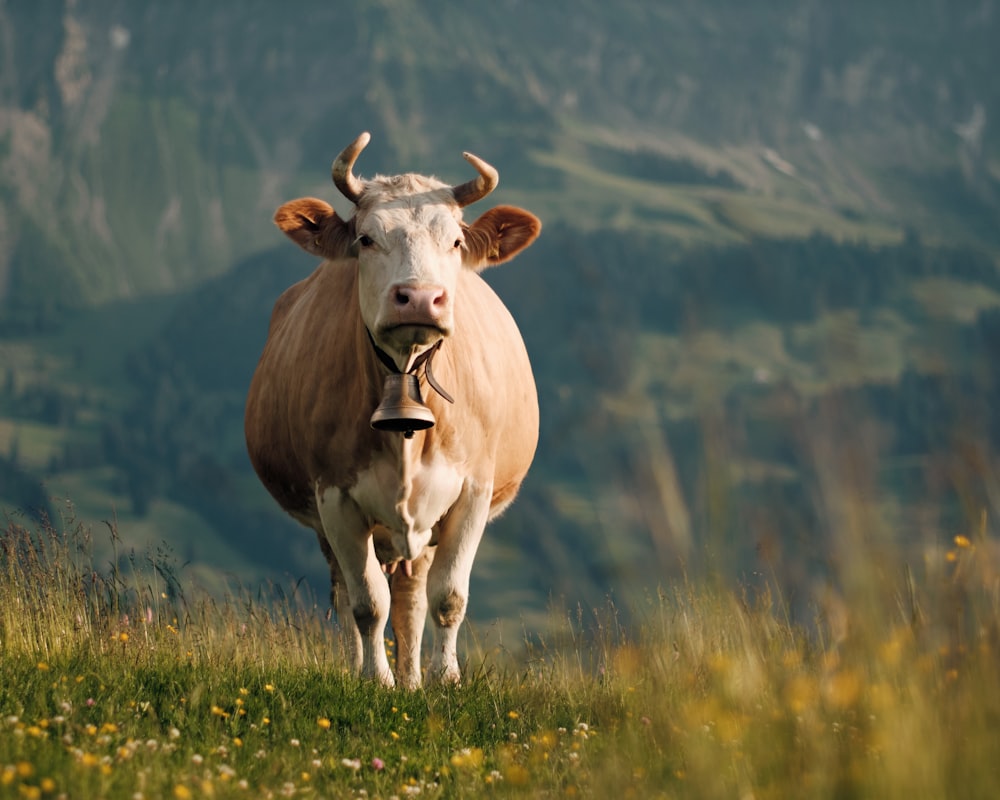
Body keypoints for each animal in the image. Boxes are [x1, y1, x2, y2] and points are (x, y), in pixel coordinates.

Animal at [246, 131, 544, 688]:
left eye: (455, 242)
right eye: (366, 239)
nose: (420, 298)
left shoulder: (473, 491)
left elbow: (448, 598)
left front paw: (445, 681)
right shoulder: (335, 498)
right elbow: (367, 604)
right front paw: (375, 681)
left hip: (422, 530)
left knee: (413, 596)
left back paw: (413, 679)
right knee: (349, 593)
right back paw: (373, 671)